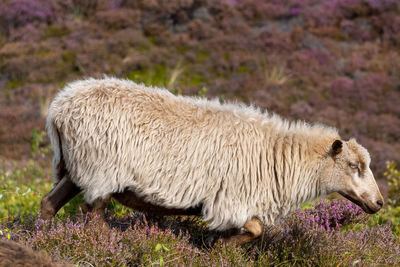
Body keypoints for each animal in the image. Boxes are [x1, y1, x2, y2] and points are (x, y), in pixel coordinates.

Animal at [39, 77, 382, 245]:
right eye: (354, 166)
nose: (379, 203)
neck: (280, 157)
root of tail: (59, 107)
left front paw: (213, 245)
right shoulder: (231, 200)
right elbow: (255, 230)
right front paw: (219, 248)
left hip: (76, 167)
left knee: (49, 203)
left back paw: (40, 235)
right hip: (101, 170)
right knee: (92, 214)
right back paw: (104, 240)